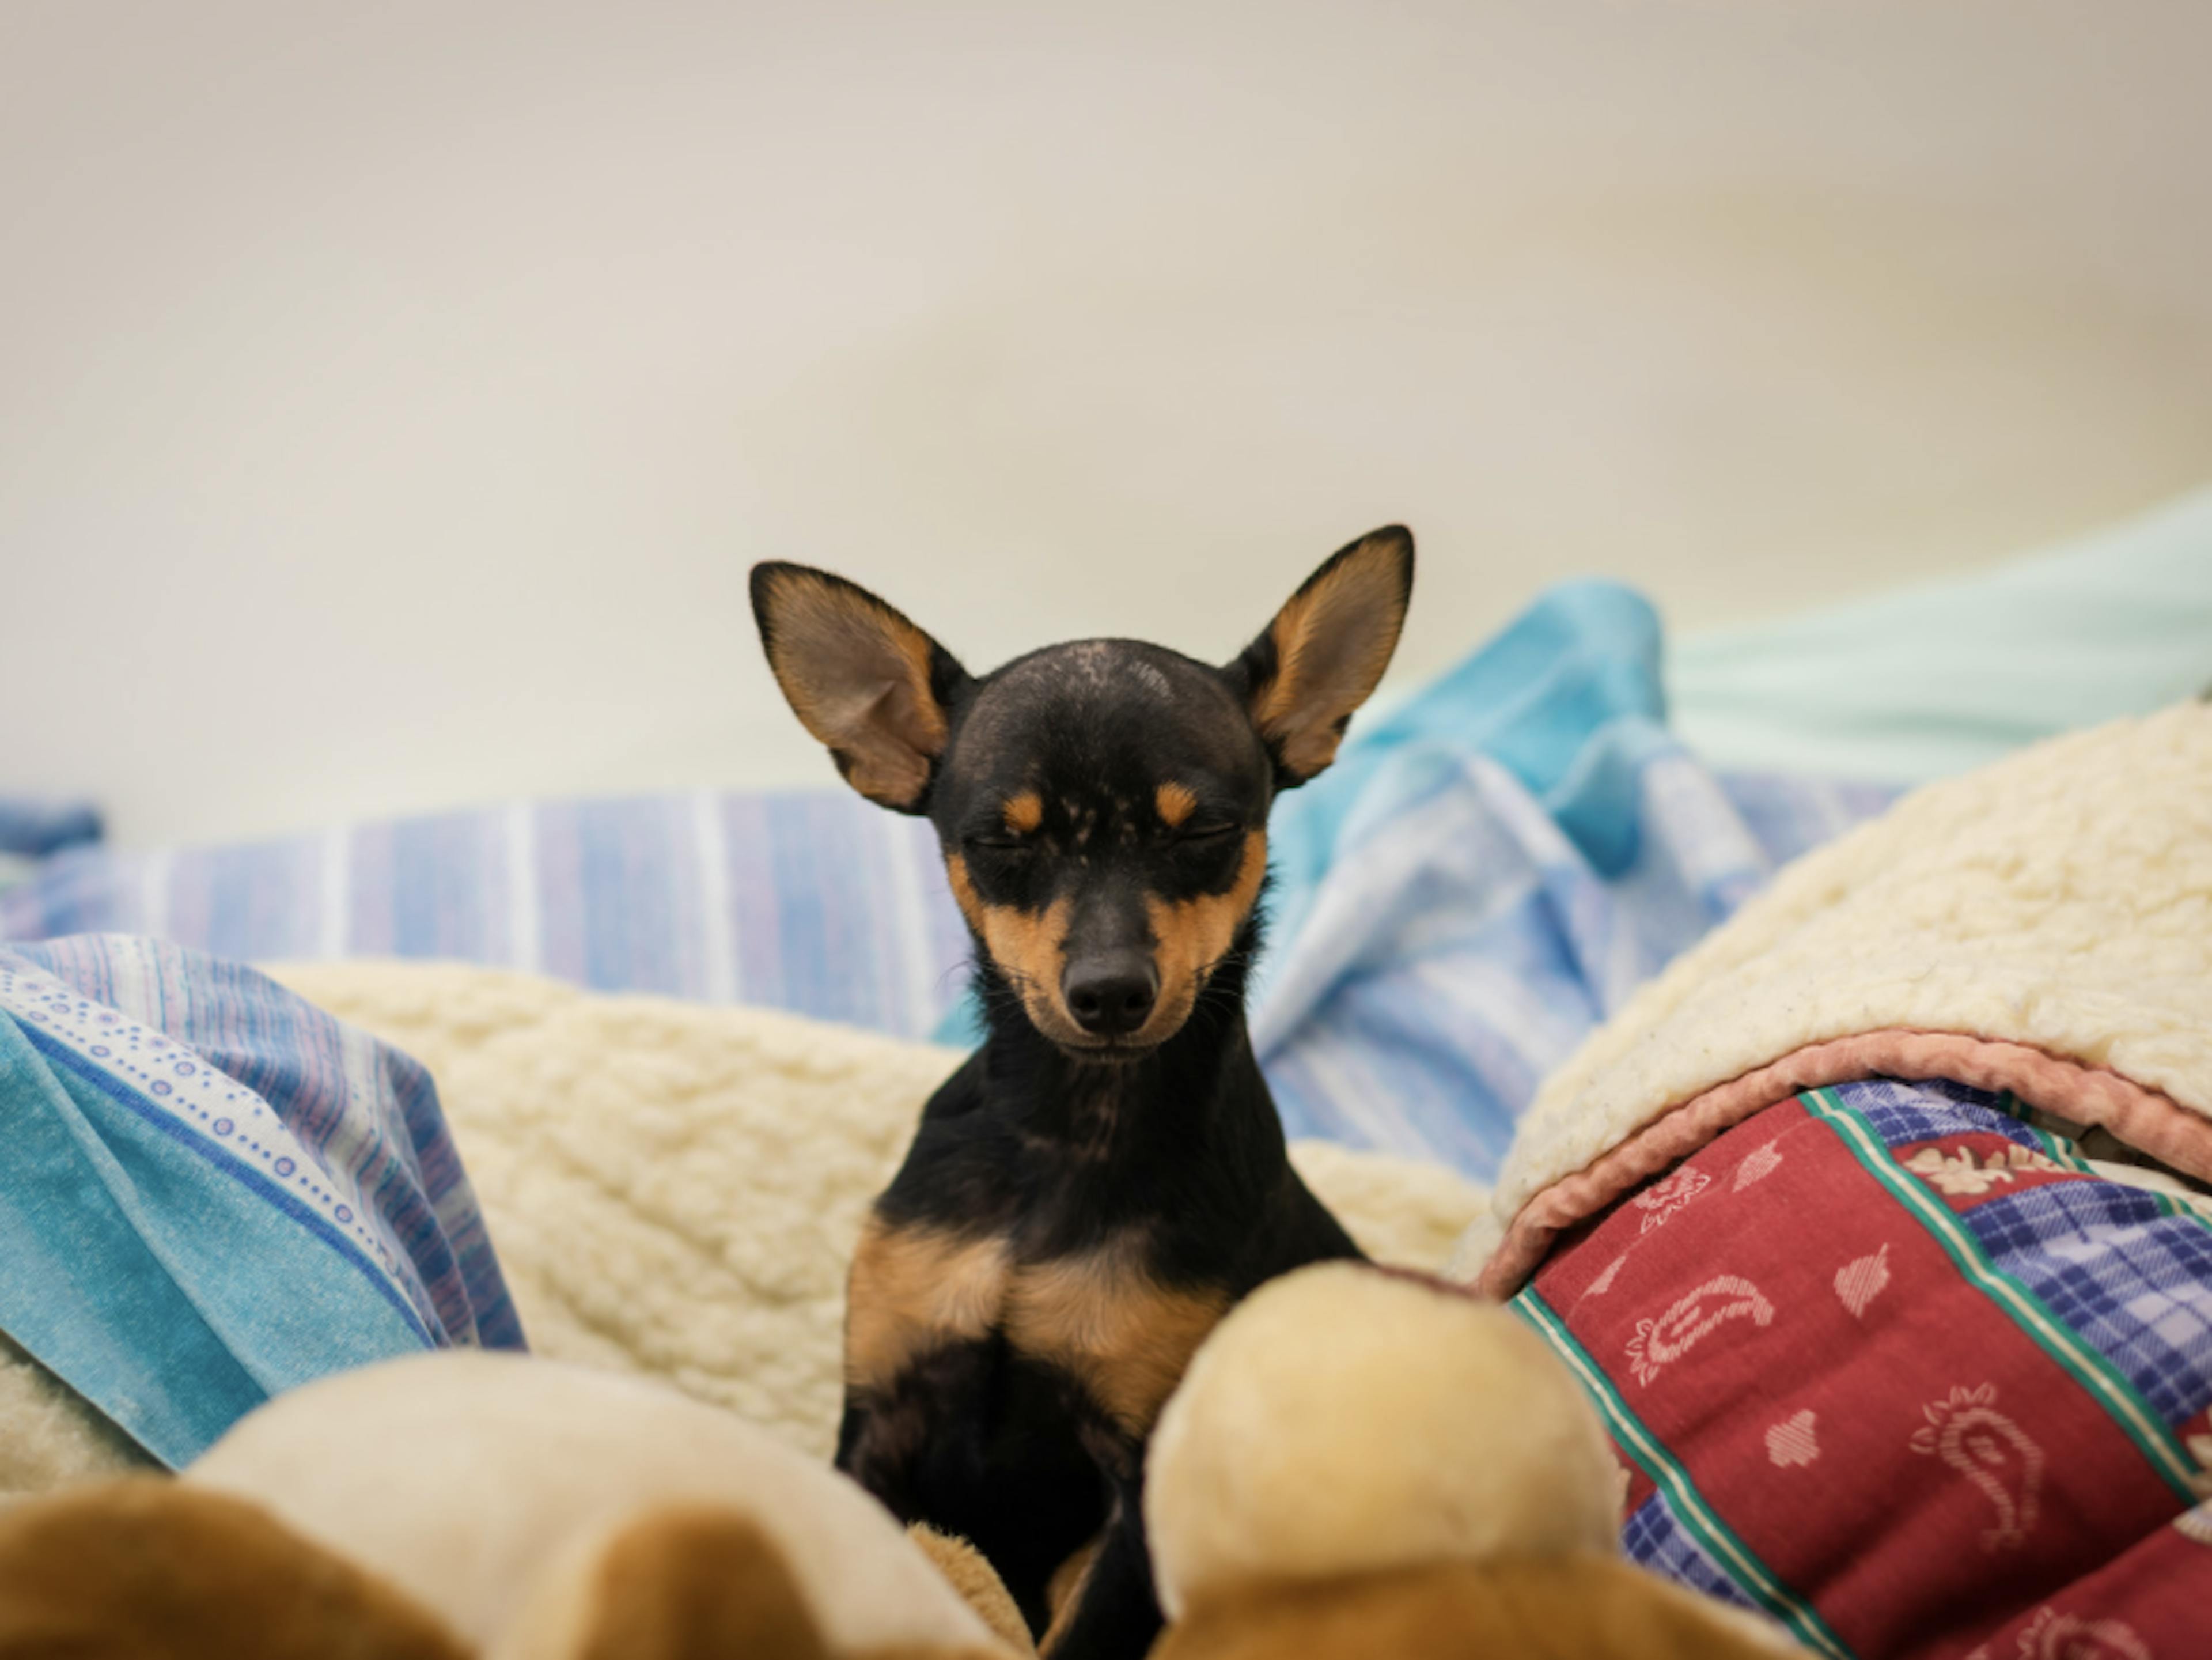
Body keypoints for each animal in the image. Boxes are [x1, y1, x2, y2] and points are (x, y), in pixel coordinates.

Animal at [752, 529, 1415, 1660]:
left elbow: (1077, 1640)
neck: (1070, 1131)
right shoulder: (880, 1412)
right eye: (1002, 843)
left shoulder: (1137, 1496)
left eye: (1203, 835)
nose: (1109, 992)